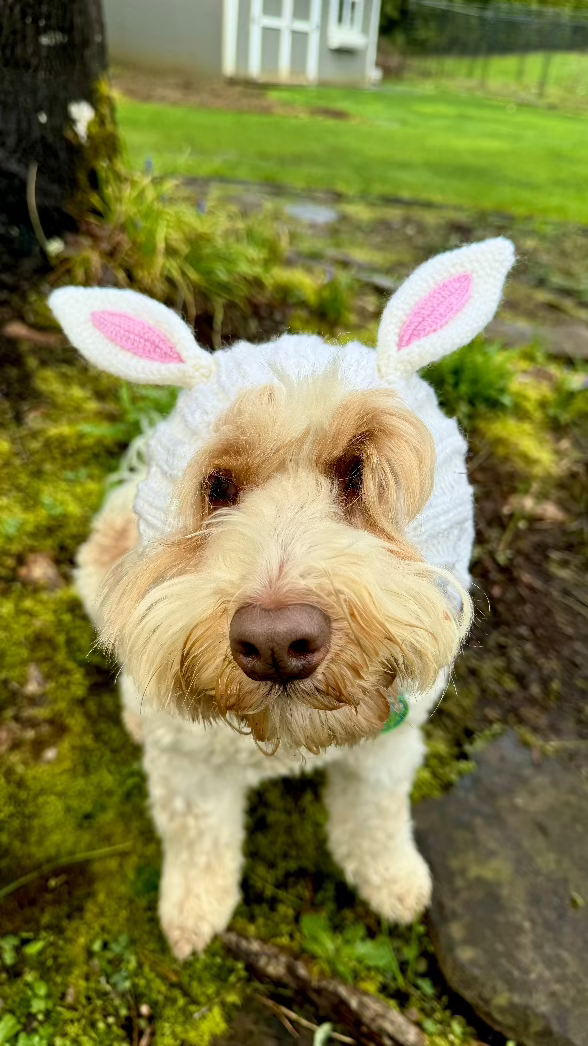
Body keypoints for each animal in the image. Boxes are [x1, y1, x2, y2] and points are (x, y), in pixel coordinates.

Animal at [50, 235, 512, 958]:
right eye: (217, 486)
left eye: (358, 471)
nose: (274, 642)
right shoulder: (189, 766)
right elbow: (199, 836)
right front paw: (193, 911)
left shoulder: (388, 745)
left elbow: (377, 815)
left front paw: (394, 880)